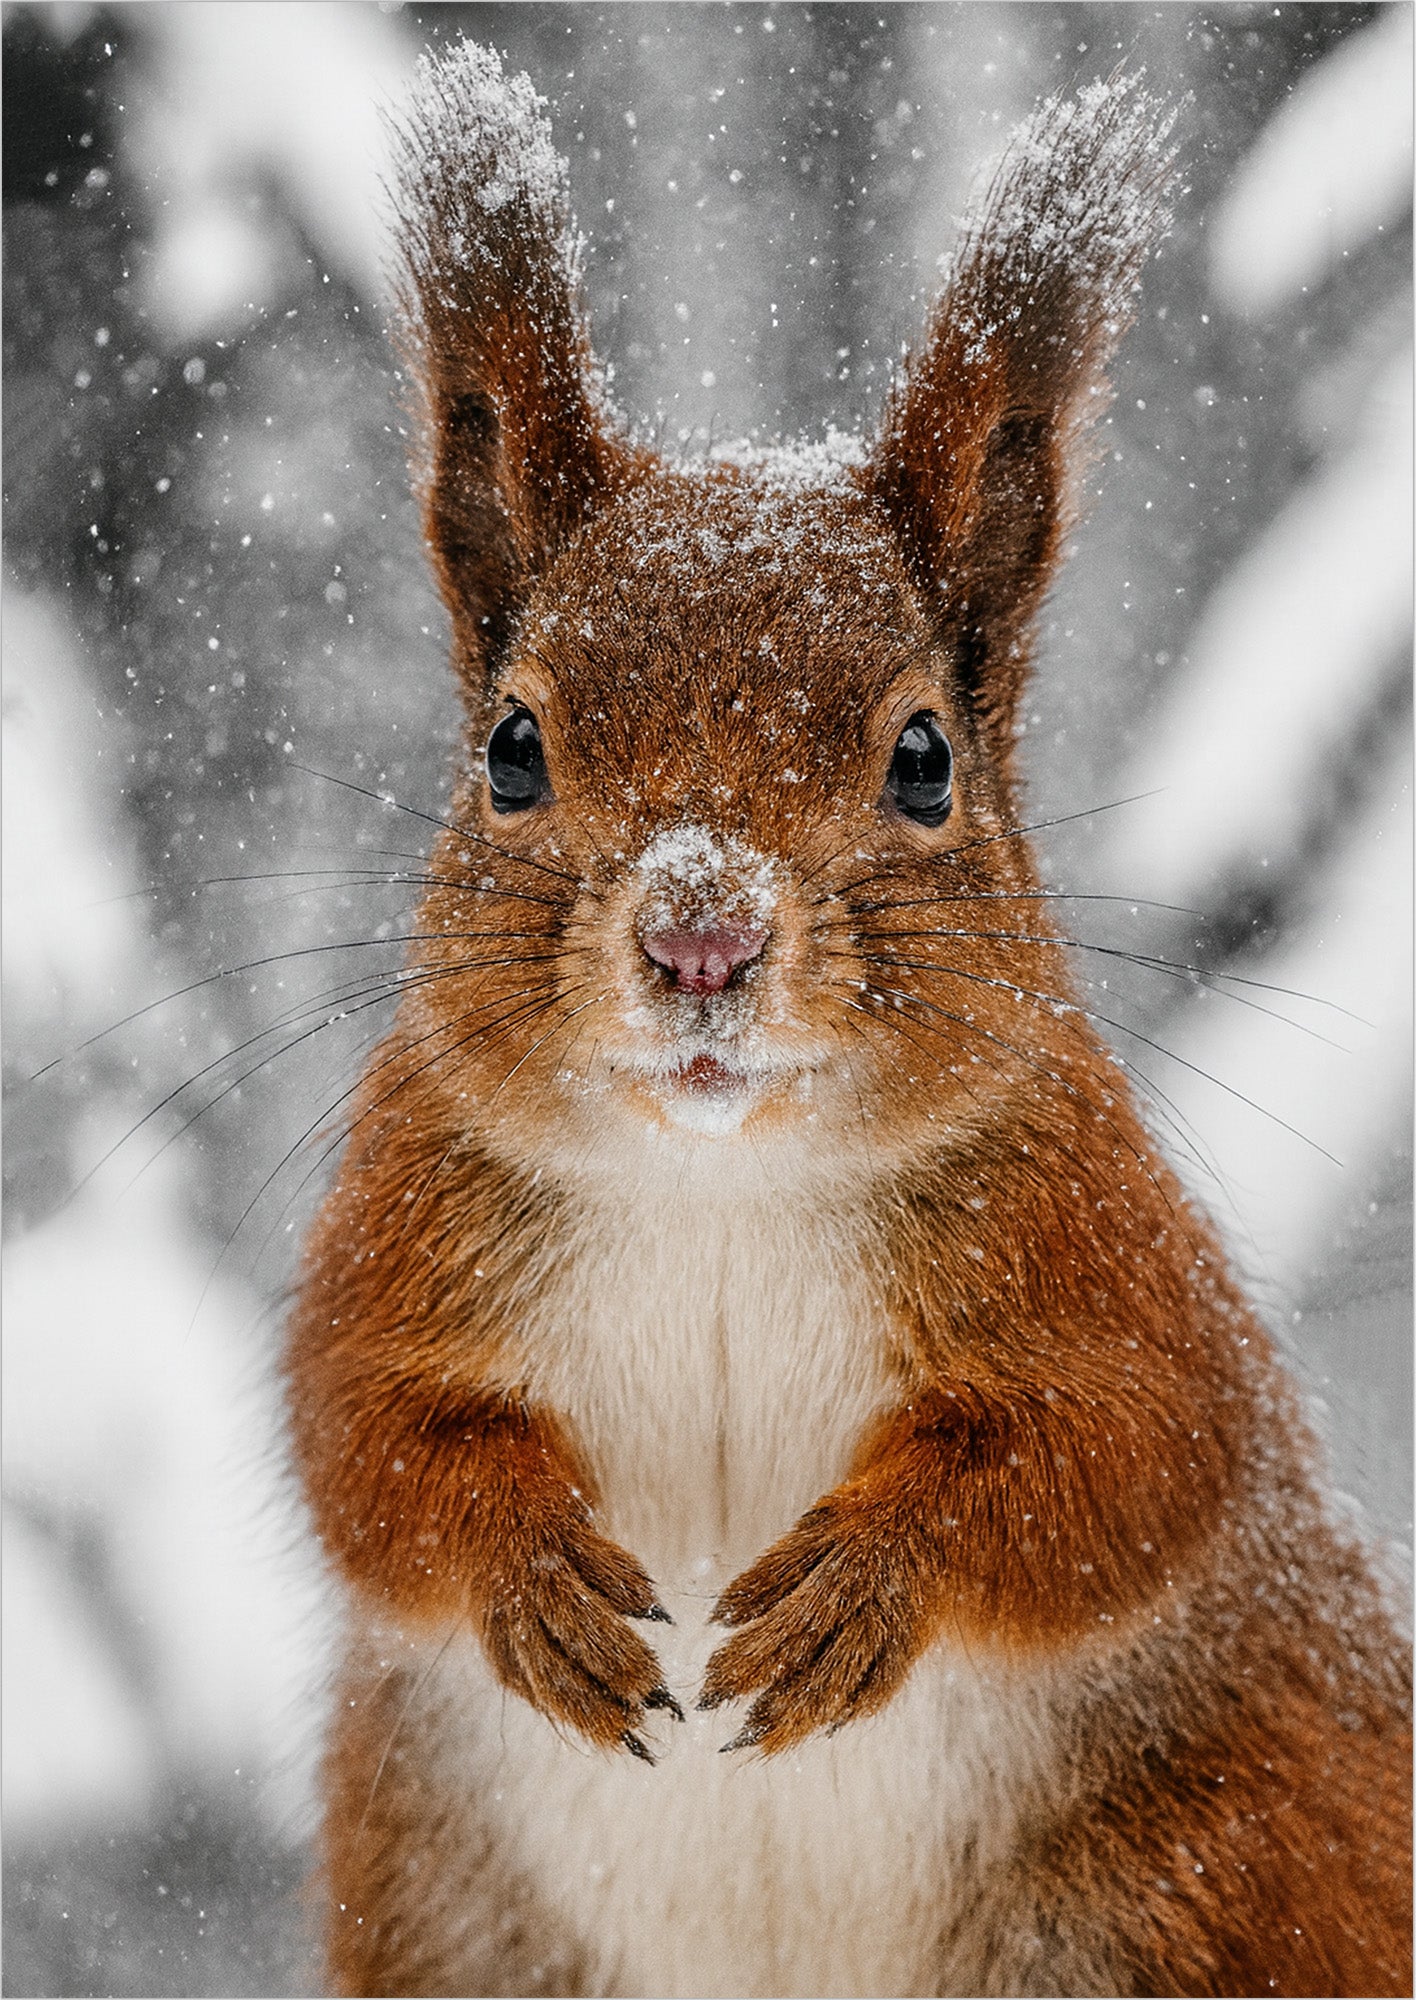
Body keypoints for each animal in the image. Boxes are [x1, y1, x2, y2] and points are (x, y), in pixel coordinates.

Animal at [286, 43, 1411, 2000]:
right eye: (511, 749)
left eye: (924, 760)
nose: (702, 936)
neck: (719, 1186)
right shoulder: (406, 1224)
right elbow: (366, 1441)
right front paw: (527, 1578)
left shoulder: (1102, 1246)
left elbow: (1126, 1463)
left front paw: (862, 1588)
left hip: (1195, 1886)